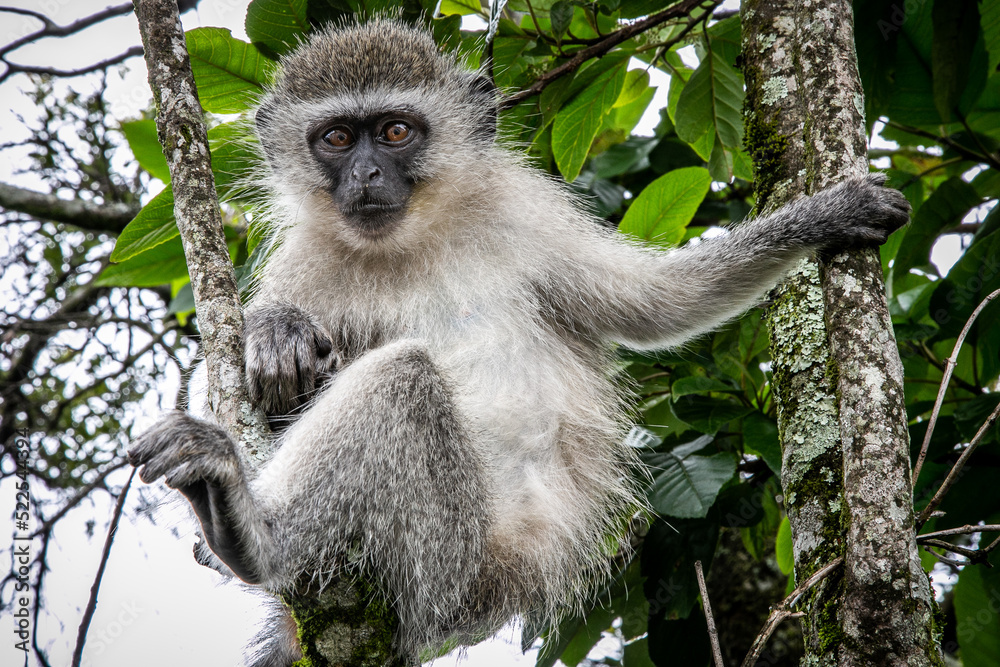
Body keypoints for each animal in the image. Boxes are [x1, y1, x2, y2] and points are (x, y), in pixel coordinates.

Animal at [127, 18, 911, 663]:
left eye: (396, 132)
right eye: (338, 139)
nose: (367, 175)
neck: (417, 238)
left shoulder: (529, 213)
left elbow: (659, 304)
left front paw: (825, 214)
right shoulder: (304, 265)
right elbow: (259, 396)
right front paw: (275, 334)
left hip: (450, 570)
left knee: (404, 378)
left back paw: (252, 536)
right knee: (405, 380)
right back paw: (255, 532)